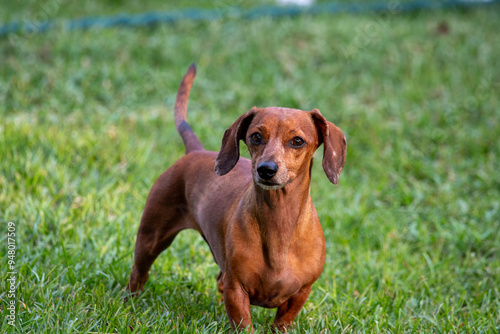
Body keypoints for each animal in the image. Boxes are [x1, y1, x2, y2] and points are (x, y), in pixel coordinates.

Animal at [129, 63, 346, 332]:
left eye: (297, 141)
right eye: (256, 136)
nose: (266, 169)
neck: (279, 223)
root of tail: (196, 151)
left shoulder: (300, 294)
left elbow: (282, 323)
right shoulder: (236, 289)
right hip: (151, 238)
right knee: (139, 273)